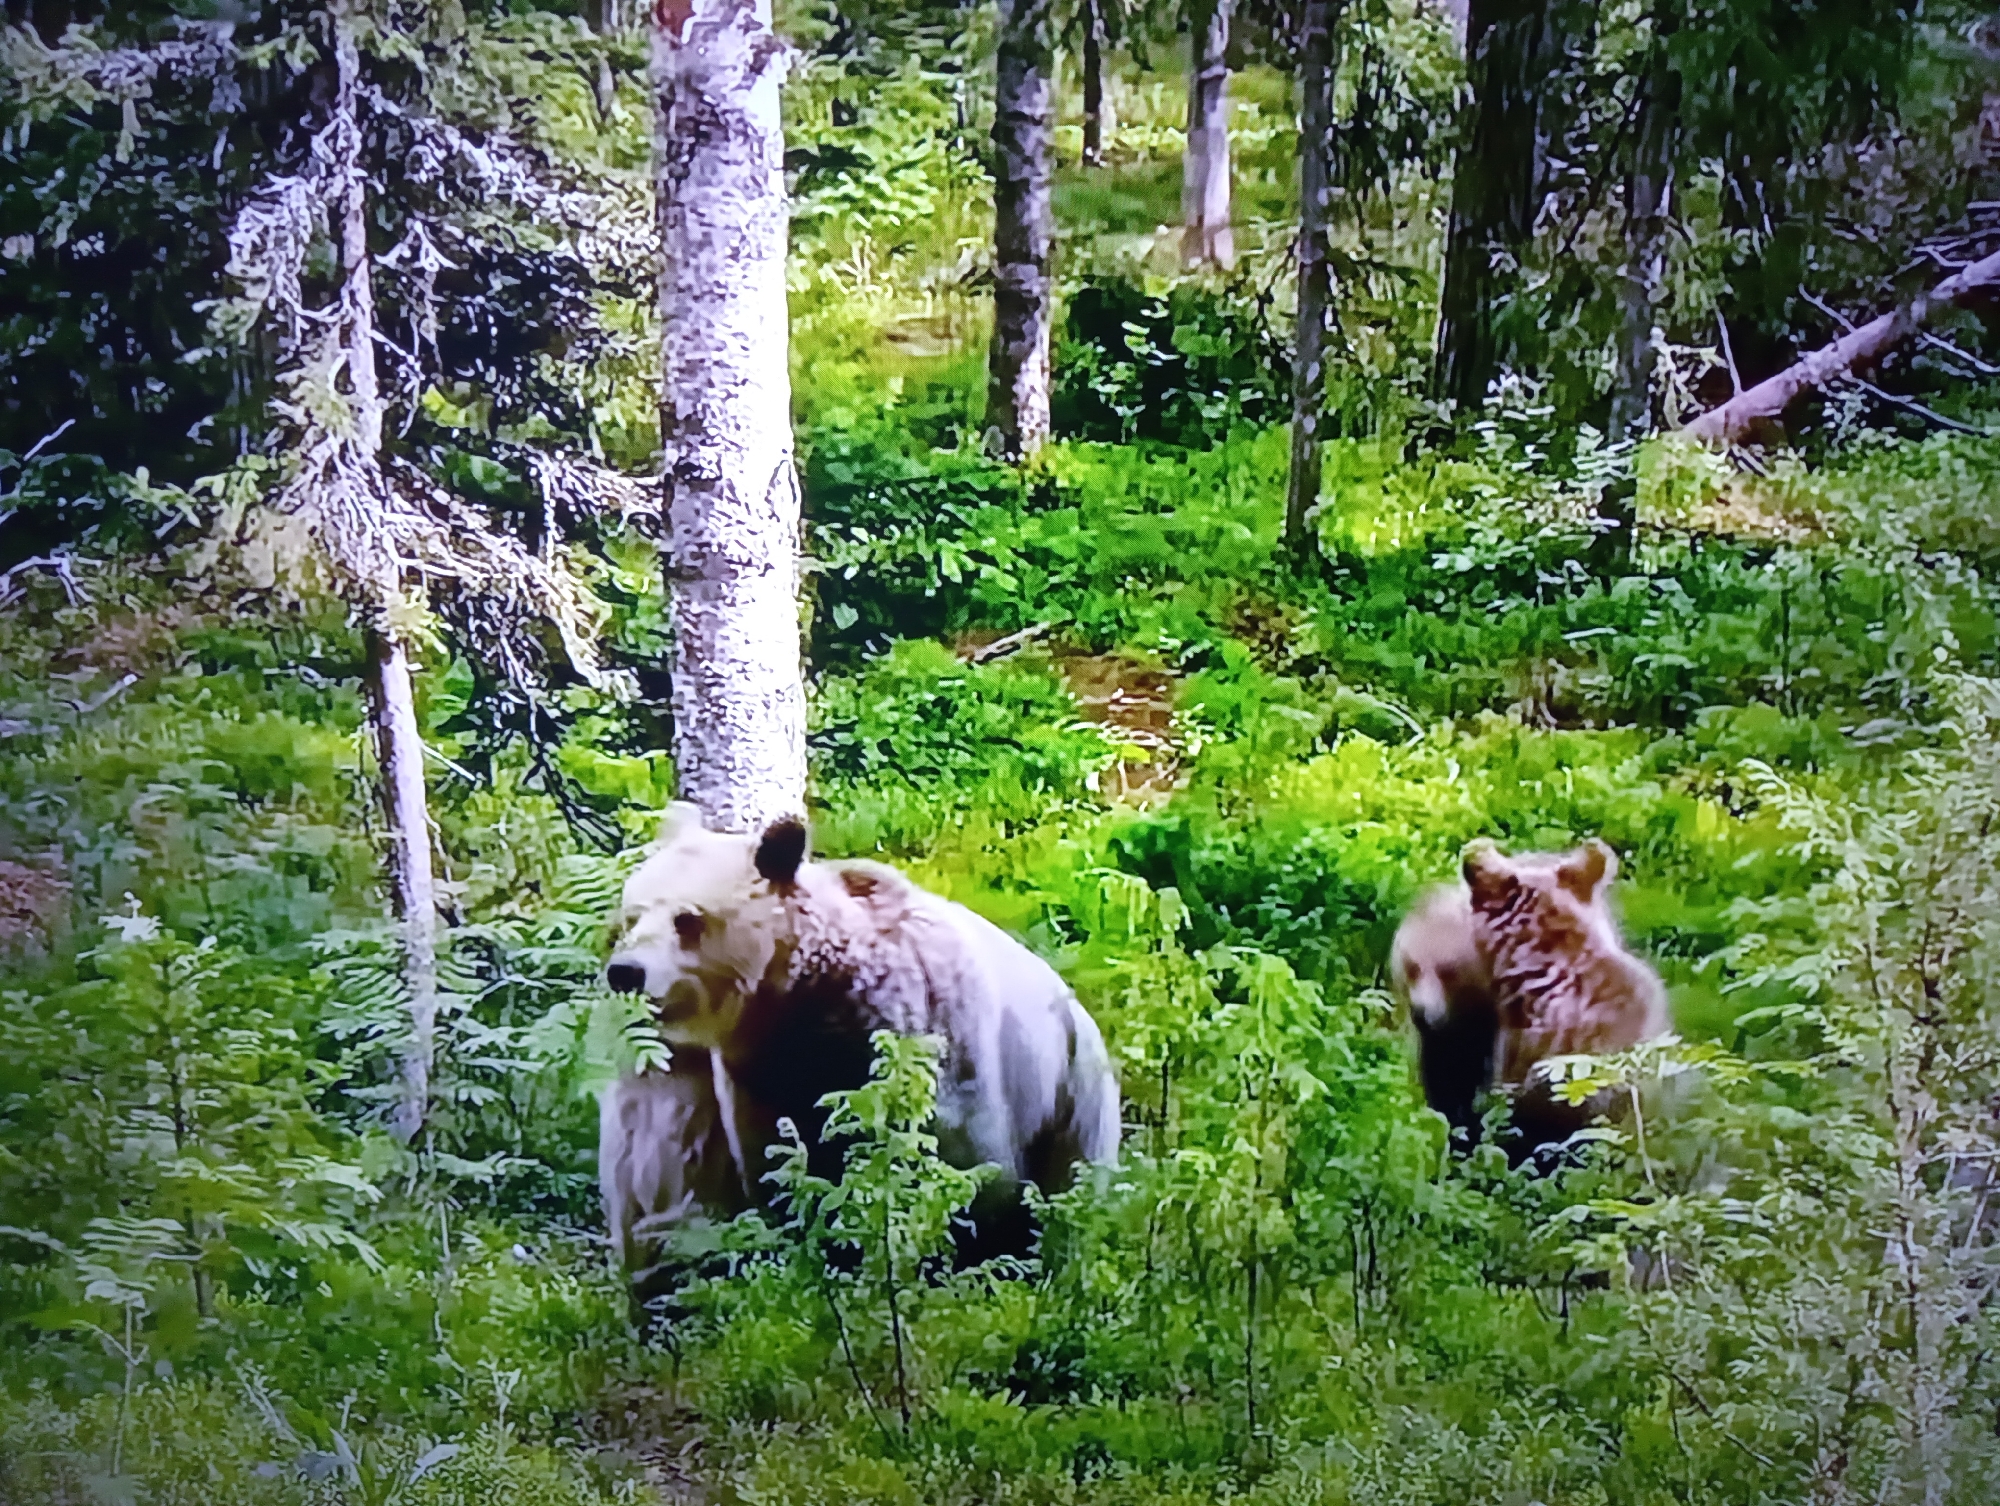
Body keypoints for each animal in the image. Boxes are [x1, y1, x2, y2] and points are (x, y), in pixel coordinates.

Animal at [599, 802, 1122, 1296]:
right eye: (631, 916)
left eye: (687, 920)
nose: (625, 971)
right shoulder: (759, 1079)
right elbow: (781, 1167)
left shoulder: (927, 1033)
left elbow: (966, 1162)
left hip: (1069, 1090)